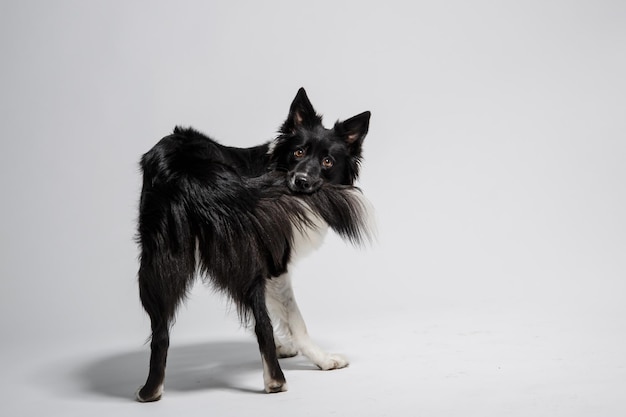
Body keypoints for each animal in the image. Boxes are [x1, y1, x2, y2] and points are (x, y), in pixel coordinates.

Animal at [135, 87, 370, 400]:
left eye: (328, 161)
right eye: (298, 152)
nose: (301, 181)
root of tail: (192, 171)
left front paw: (286, 347)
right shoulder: (276, 263)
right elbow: (293, 319)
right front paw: (321, 359)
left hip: (160, 257)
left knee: (160, 332)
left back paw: (150, 391)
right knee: (262, 324)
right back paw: (276, 382)